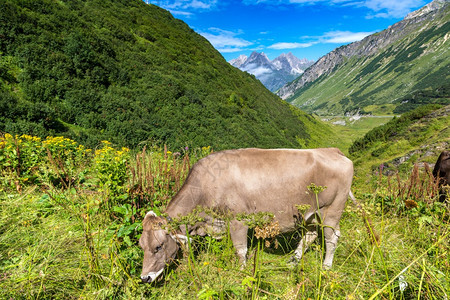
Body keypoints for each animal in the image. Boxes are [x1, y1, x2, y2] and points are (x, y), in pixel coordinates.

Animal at [139, 149, 354, 282]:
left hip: (331, 211)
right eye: (141, 245)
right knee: (310, 235)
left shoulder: (237, 221)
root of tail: (332, 150)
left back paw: (326, 266)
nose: (144, 278)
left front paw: (241, 272)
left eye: (158, 246)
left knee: (332, 238)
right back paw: (293, 260)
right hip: (309, 213)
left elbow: (240, 249)